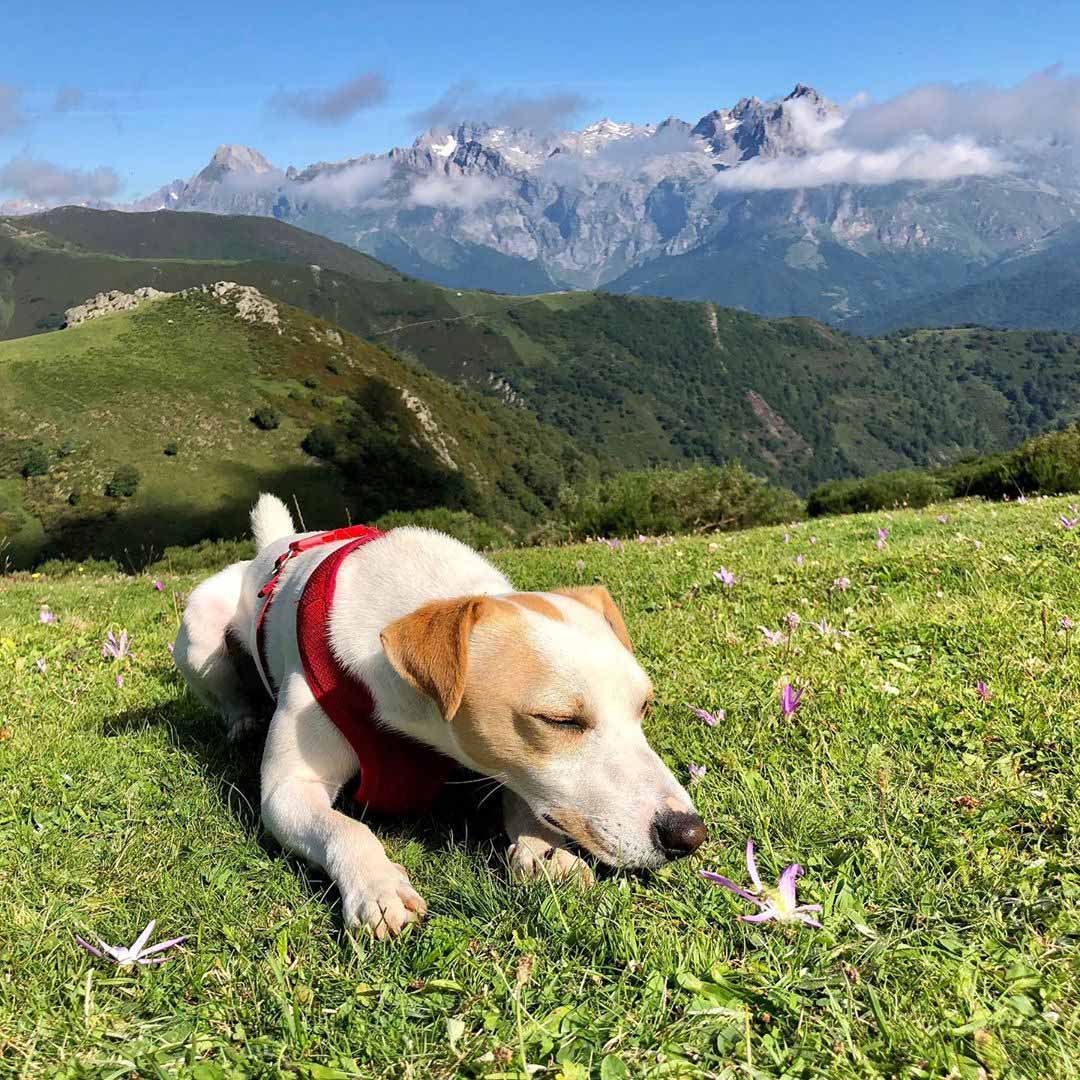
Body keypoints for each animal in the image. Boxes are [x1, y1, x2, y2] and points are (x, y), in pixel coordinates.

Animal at [172, 494, 704, 937]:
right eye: (560, 721)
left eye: (644, 706)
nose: (689, 834)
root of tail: (274, 546)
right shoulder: (288, 792)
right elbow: (345, 827)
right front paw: (376, 886)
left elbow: (522, 792)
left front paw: (541, 845)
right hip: (199, 633)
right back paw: (243, 720)